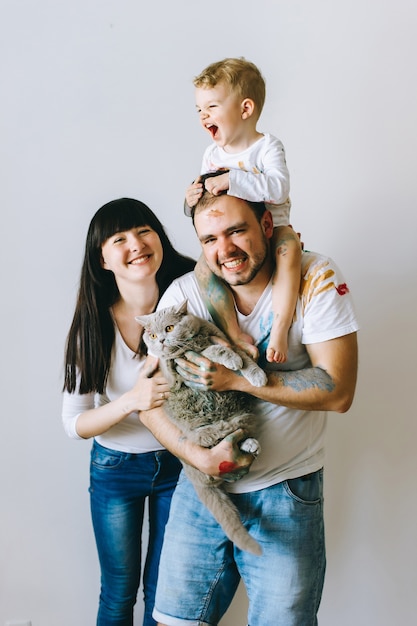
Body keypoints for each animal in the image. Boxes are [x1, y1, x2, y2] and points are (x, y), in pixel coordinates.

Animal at [136, 300, 266, 552]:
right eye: (153, 335)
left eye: (169, 328)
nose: (161, 341)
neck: (194, 340)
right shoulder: (176, 367)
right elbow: (211, 351)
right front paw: (230, 359)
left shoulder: (221, 337)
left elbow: (244, 357)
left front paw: (257, 375)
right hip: (201, 434)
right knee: (215, 439)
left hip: (240, 416)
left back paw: (250, 444)